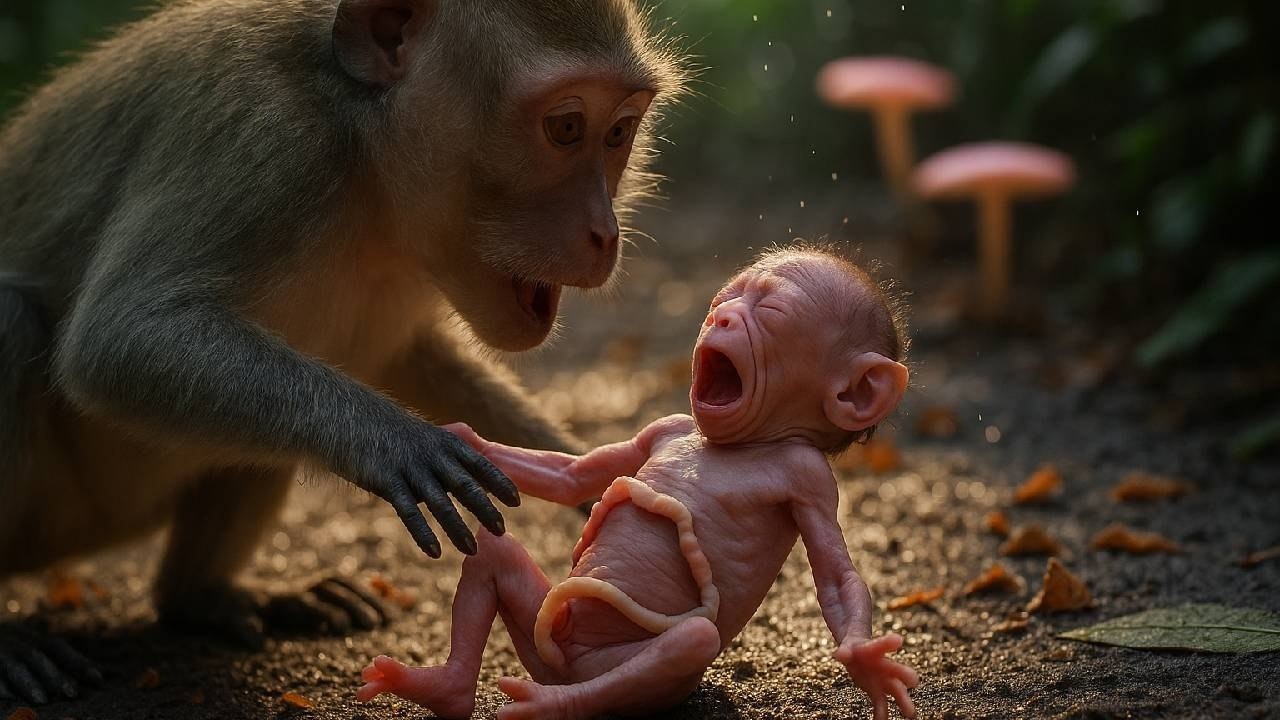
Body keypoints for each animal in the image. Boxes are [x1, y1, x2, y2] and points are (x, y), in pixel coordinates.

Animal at [0, 0, 686, 705]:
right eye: (566, 127)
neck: (362, 159)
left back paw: (203, 596)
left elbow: (404, 359)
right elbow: (119, 336)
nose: (605, 233)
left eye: (619, 132)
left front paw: (595, 476)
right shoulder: (259, 139)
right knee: (14, 322)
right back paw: (10, 644)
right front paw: (396, 442)